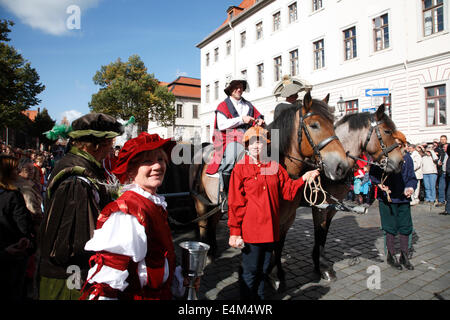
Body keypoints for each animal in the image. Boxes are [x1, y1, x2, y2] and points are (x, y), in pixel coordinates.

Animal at [188, 92, 350, 260]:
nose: (342, 166)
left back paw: (212, 251)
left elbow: (277, 252)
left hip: (215, 205)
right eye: (314, 125)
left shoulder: (286, 221)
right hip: (200, 203)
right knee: (203, 226)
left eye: (333, 123)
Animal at [270, 103, 404, 284]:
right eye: (388, 131)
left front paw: (320, 262)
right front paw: (322, 266)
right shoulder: (319, 206)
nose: (400, 162)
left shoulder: (332, 207)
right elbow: (319, 232)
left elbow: (324, 233)